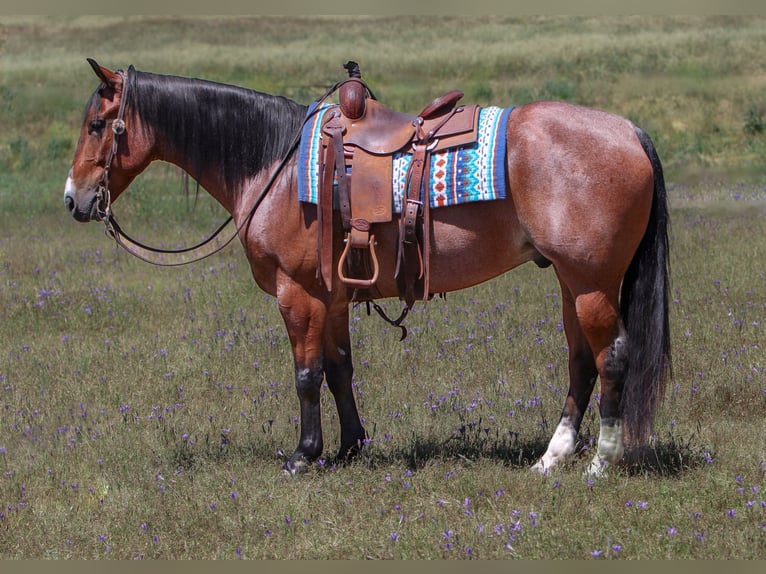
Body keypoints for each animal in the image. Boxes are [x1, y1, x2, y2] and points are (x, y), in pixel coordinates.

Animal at [63, 60, 668, 480]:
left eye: (97, 125)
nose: (74, 199)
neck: (275, 164)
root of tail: (629, 131)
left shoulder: (298, 293)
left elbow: (306, 375)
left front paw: (303, 456)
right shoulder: (331, 298)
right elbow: (339, 371)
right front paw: (350, 447)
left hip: (591, 282)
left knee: (612, 357)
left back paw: (601, 463)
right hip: (571, 281)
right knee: (580, 361)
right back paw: (552, 457)